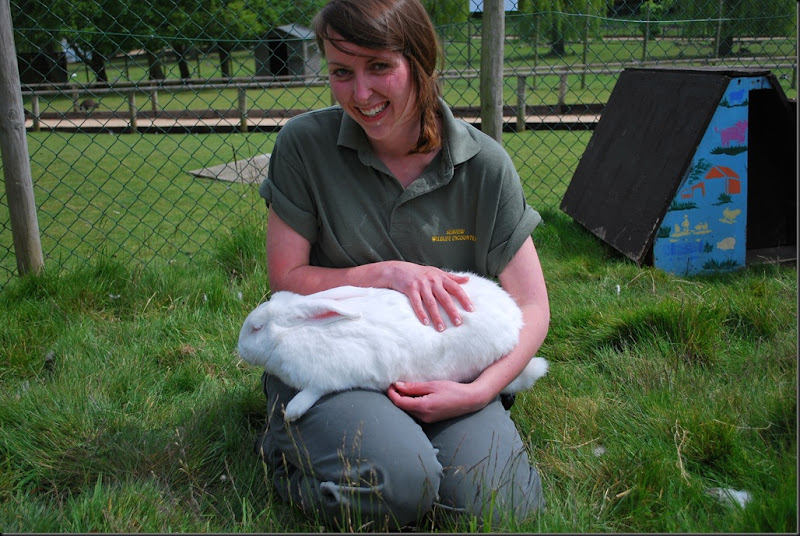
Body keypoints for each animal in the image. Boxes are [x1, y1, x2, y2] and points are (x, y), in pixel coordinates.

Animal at [238, 272, 552, 422]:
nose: (239, 349)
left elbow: (313, 391)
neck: (299, 333)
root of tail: (516, 319)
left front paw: (291, 412)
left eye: (256, 328)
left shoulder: (330, 376)